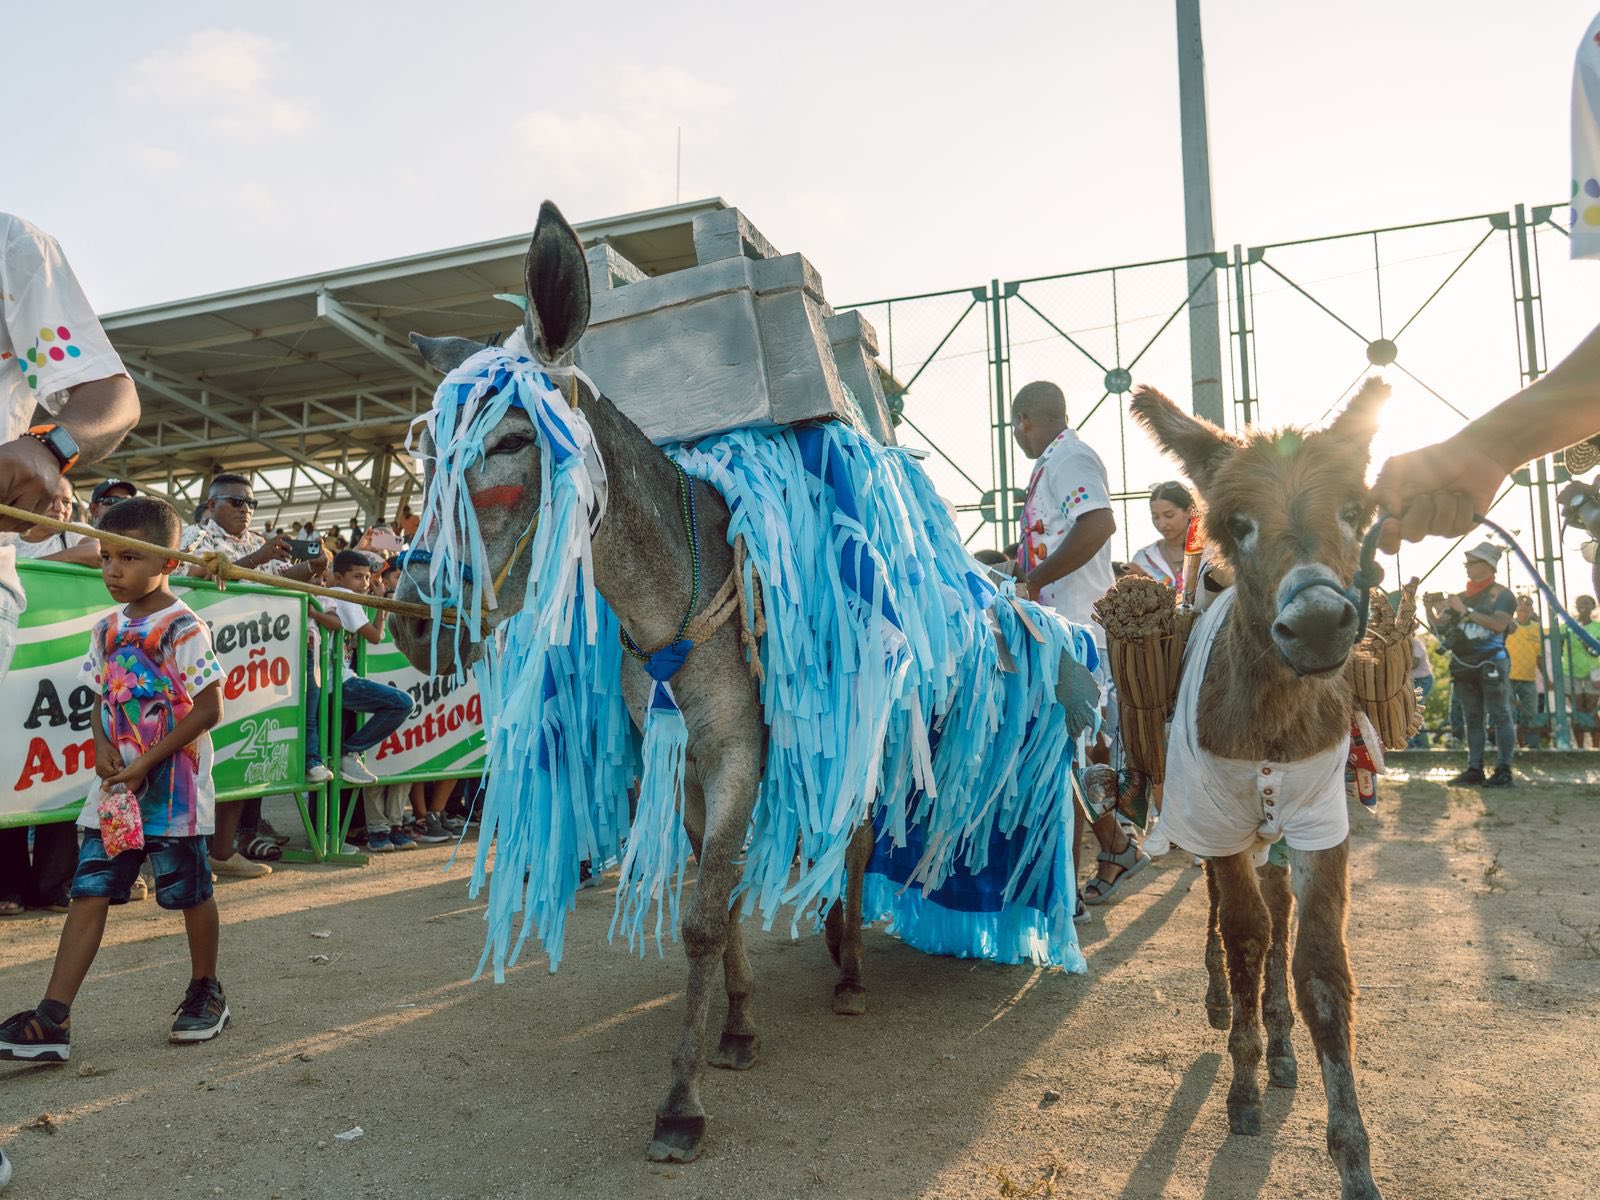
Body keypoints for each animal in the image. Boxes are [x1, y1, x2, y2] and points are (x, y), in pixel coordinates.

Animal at [390, 202, 887, 1164]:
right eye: (425, 454)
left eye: (514, 441)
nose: (414, 619)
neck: (673, 602)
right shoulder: (685, 762)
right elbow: (715, 901)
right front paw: (736, 1026)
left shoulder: (735, 753)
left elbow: (701, 918)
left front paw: (681, 1103)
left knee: (855, 838)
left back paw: (851, 970)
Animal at [1130, 380, 1389, 1200]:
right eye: (1235, 525)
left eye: (1354, 510)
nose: (1318, 624)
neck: (1274, 725)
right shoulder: (1215, 822)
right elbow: (1243, 936)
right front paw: (1241, 1087)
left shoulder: (1321, 826)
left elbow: (1320, 970)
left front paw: (1353, 1159)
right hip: (1214, 827)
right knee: (1228, 915)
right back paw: (1229, 1014)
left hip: (1275, 834)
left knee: (1278, 915)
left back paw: (1278, 1042)